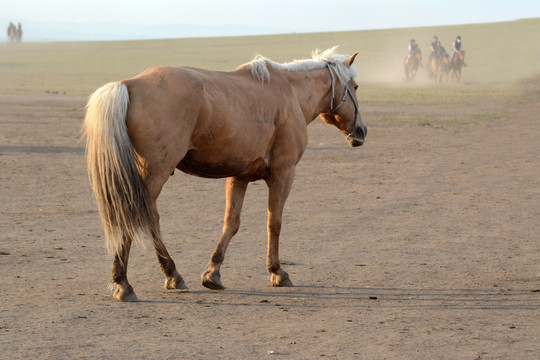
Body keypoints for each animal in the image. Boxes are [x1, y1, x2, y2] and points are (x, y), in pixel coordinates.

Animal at [81, 47, 368, 300]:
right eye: (354, 87)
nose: (362, 131)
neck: (290, 93)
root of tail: (129, 84)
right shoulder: (283, 174)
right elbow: (274, 223)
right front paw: (277, 272)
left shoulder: (238, 176)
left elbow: (231, 223)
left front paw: (213, 273)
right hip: (155, 173)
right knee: (140, 215)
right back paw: (130, 282)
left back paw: (167, 275)